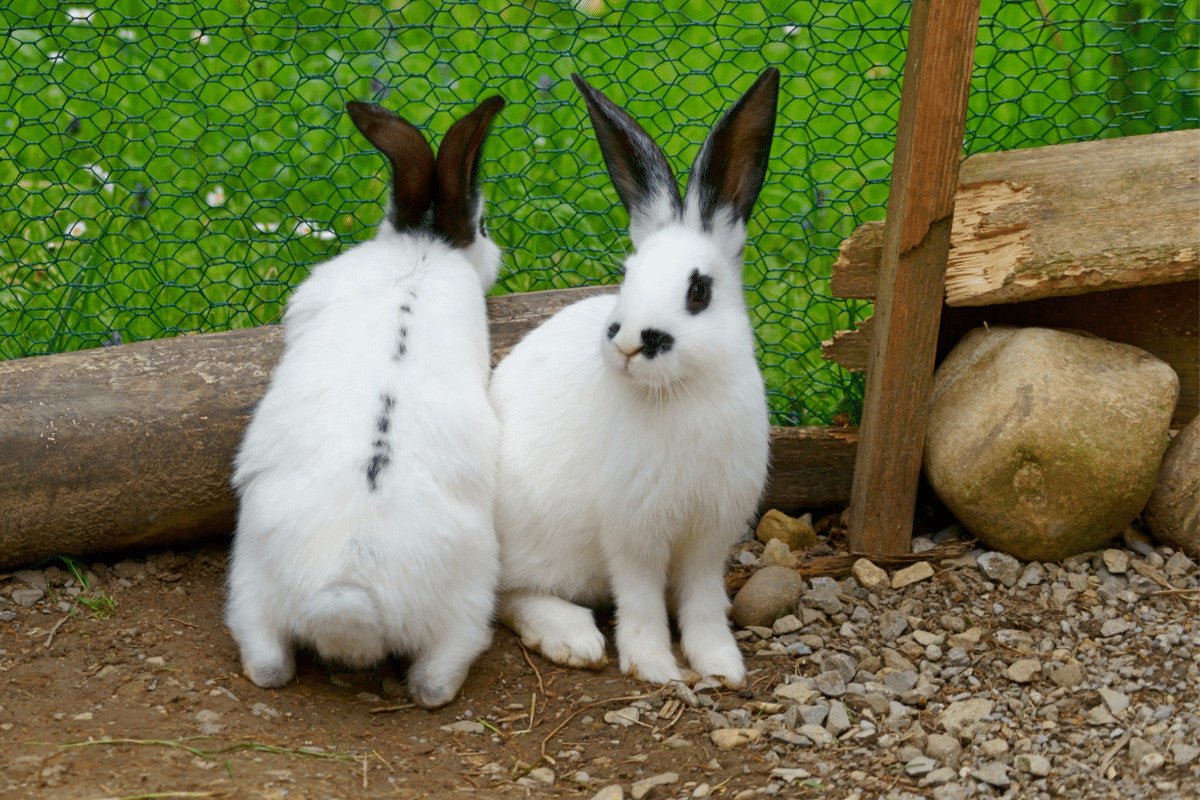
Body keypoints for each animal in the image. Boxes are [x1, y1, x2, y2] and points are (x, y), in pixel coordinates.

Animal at [489, 68, 780, 686]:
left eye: (699, 291)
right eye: (628, 273)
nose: (627, 343)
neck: (683, 393)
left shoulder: (709, 535)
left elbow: (702, 602)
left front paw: (721, 664)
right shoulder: (633, 532)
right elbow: (640, 600)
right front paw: (654, 666)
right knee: (507, 596)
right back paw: (571, 637)